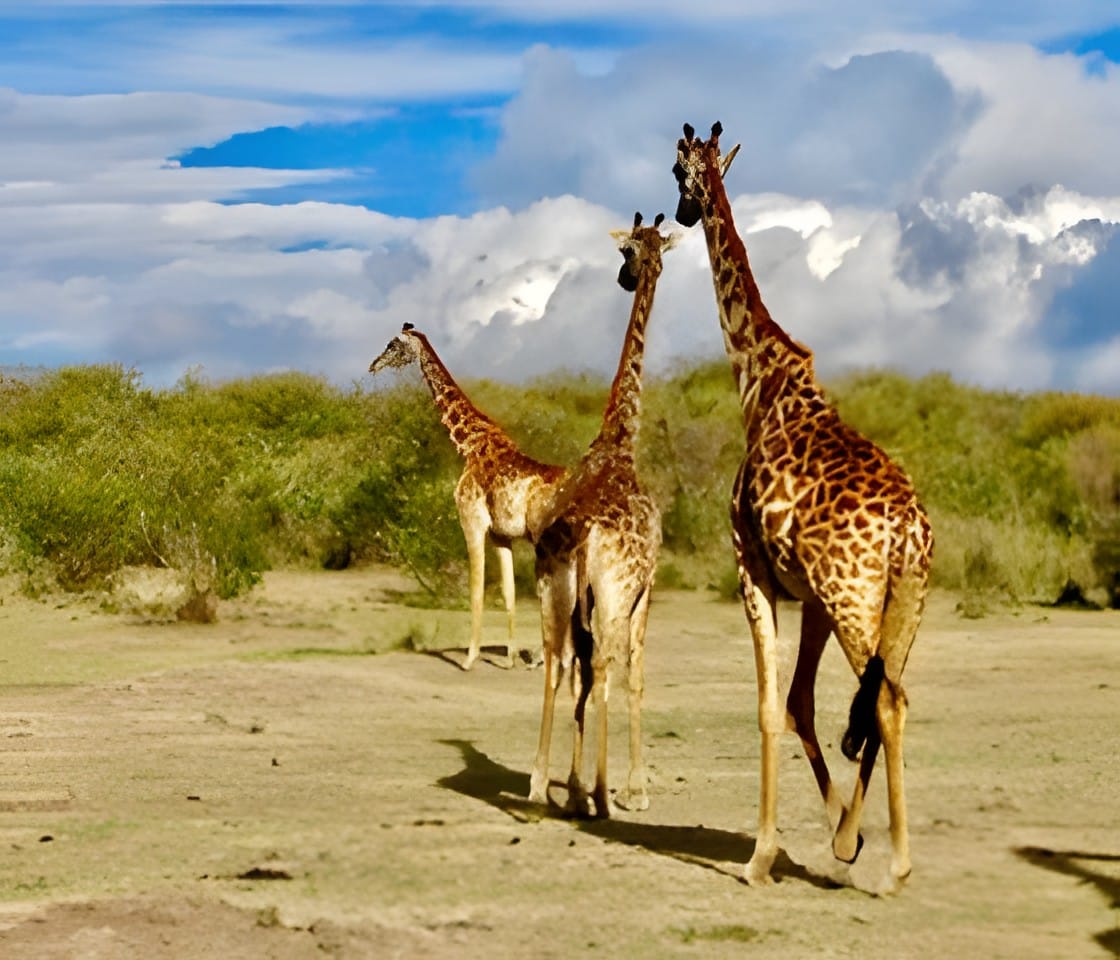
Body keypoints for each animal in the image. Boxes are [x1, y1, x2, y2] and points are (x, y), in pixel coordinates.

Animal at [369, 323, 566, 670]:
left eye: (392, 344)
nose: (373, 365)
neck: (470, 444)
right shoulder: (502, 534)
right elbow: (508, 592)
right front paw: (509, 659)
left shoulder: (471, 521)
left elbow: (476, 590)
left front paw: (469, 659)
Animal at [673, 122, 934, 894]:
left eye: (677, 170)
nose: (683, 213)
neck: (759, 385)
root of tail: (908, 529)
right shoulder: (810, 593)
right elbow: (800, 704)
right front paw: (841, 833)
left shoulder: (750, 567)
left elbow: (767, 708)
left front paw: (761, 857)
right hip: (902, 602)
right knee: (891, 699)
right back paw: (874, 850)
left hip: (856, 599)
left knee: (886, 701)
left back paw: (898, 867)